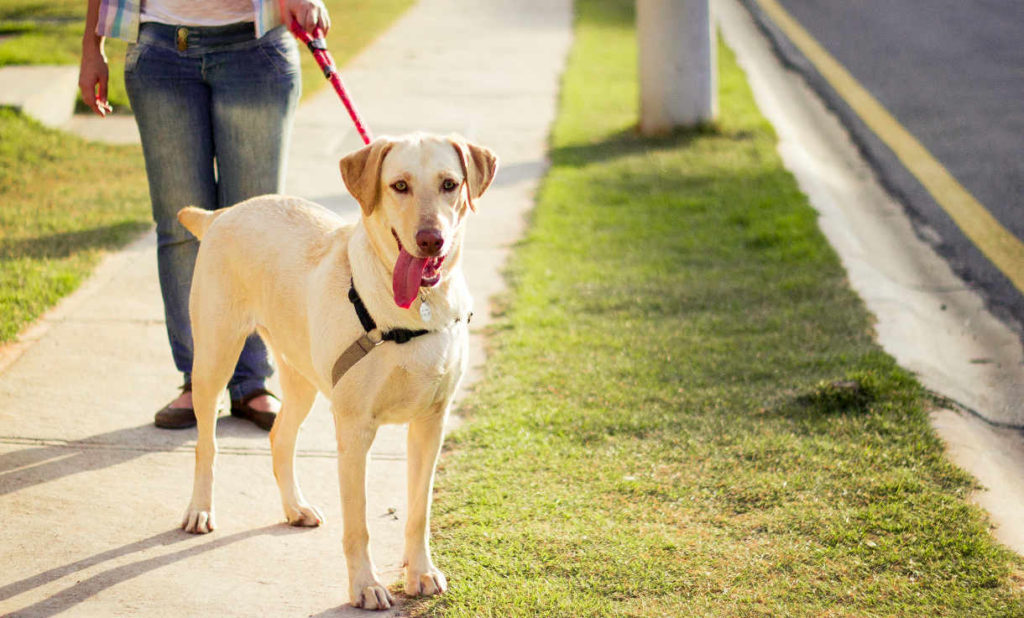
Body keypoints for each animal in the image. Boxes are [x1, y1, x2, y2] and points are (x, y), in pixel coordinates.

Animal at [175, 133, 495, 609]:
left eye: (450, 184)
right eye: (399, 186)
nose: (430, 240)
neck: (416, 308)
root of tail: (222, 213)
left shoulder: (431, 423)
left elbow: (419, 511)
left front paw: (420, 572)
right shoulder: (355, 428)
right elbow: (358, 523)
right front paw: (365, 586)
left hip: (301, 375)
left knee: (280, 437)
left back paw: (296, 507)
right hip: (214, 358)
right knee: (206, 445)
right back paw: (199, 509)